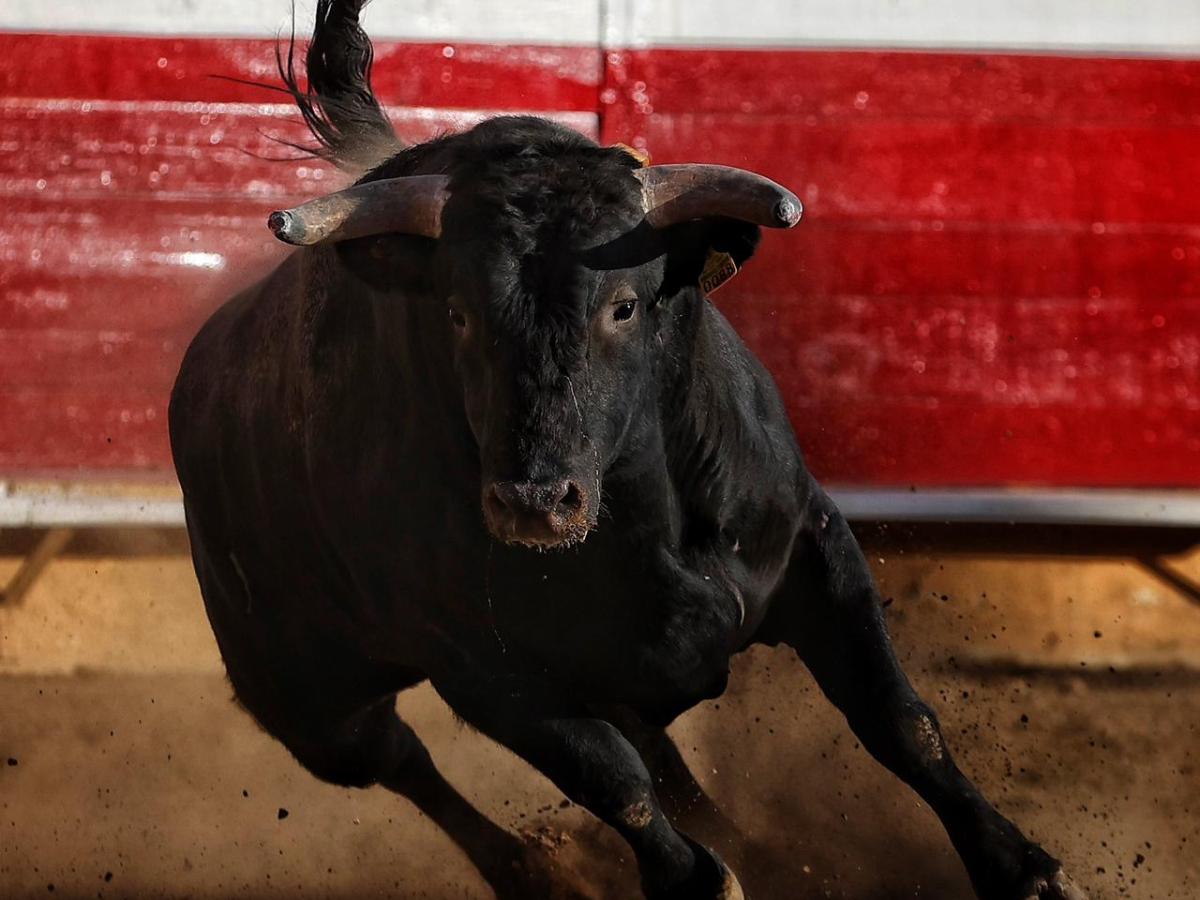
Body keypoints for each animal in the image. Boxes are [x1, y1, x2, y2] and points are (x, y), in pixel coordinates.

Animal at [166, 3, 1089, 897]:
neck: (643, 520)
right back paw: (536, 874)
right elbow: (612, 782)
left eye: (624, 305)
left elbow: (899, 720)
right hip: (307, 701)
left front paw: (1021, 867)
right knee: (405, 761)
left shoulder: (815, 543)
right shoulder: (482, 670)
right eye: (455, 312)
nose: (535, 504)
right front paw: (696, 882)